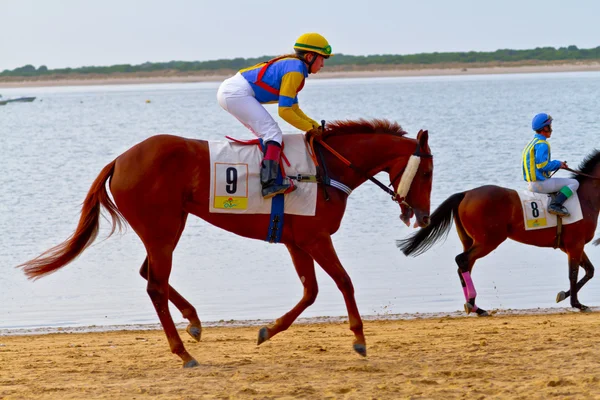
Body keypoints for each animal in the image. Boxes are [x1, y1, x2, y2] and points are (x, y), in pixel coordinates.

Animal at [17, 119, 432, 368]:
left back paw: (194, 322)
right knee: (154, 284)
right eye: (427, 171)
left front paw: (268, 330)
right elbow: (343, 281)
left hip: (166, 228)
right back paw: (183, 352)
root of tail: (119, 160)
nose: (423, 216)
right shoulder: (315, 238)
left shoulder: (296, 241)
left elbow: (311, 291)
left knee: (149, 274)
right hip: (162, 229)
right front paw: (359, 339)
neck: (324, 170)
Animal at [398, 150, 600, 316]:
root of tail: (466, 193)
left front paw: (564, 295)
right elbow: (574, 273)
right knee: (462, 260)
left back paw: (474, 306)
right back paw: (473, 305)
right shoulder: (575, 244)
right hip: (488, 241)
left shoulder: (571, 246)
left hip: (470, 241)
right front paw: (577, 303)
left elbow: (589, 271)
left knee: (465, 265)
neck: (585, 199)